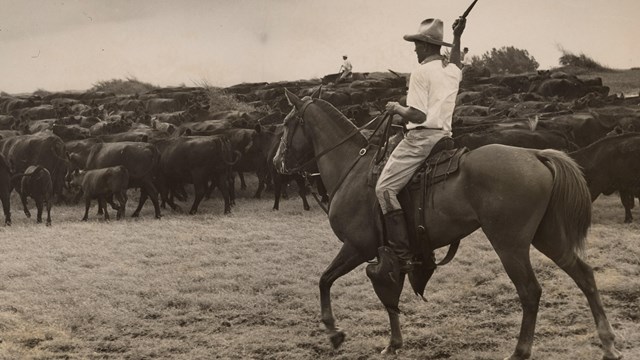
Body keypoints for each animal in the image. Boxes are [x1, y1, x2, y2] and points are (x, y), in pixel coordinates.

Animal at [272, 89, 624, 360]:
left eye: (287, 123)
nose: (277, 162)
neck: (353, 168)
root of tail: (536, 155)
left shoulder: (356, 248)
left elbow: (325, 280)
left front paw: (333, 332)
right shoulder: (386, 257)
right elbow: (389, 298)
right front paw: (394, 343)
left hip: (509, 244)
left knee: (530, 291)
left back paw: (521, 351)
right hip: (547, 237)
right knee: (584, 274)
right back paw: (607, 343)